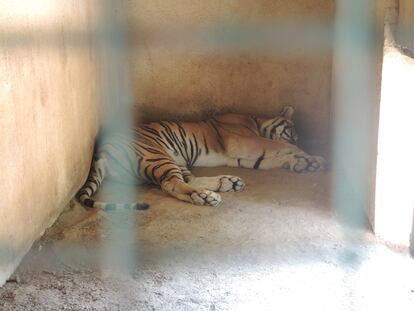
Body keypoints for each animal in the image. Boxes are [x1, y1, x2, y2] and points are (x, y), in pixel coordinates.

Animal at [77, 106, 324, 211]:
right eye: (292, 132)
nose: (299, 140)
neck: (256, 121)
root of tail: (100, 152)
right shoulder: (247, 142)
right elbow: (280, 146)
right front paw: (308, 157)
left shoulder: (243, 157)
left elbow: (273, 159)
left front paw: (305, 163)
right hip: (157, 155)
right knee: (172, 184)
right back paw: (207, 197)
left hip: (173, 159)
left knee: (189, 180)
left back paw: (228, 182)